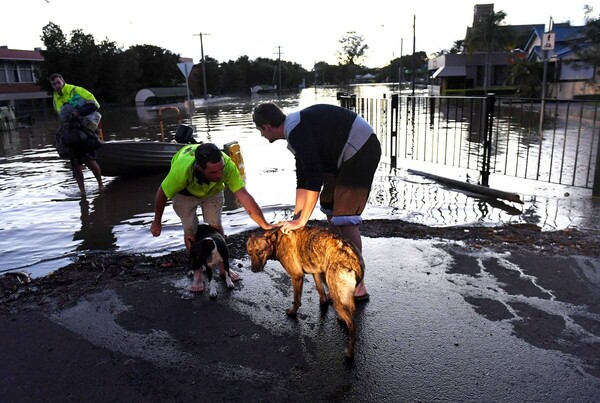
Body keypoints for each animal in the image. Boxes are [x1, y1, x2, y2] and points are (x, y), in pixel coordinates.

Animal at [246, 227, 364, 360]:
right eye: (249, 253)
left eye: (260, 252)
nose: (253, 270)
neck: (277, 240)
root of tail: (354, 260)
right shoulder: (316, 272)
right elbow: (320, 291)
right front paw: (323, 302)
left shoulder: (297, 276)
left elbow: (296, 299)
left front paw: (292, 312)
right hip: (341, 293)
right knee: (350, 309)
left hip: (336, 295)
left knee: (352, 324)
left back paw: (350, 352)